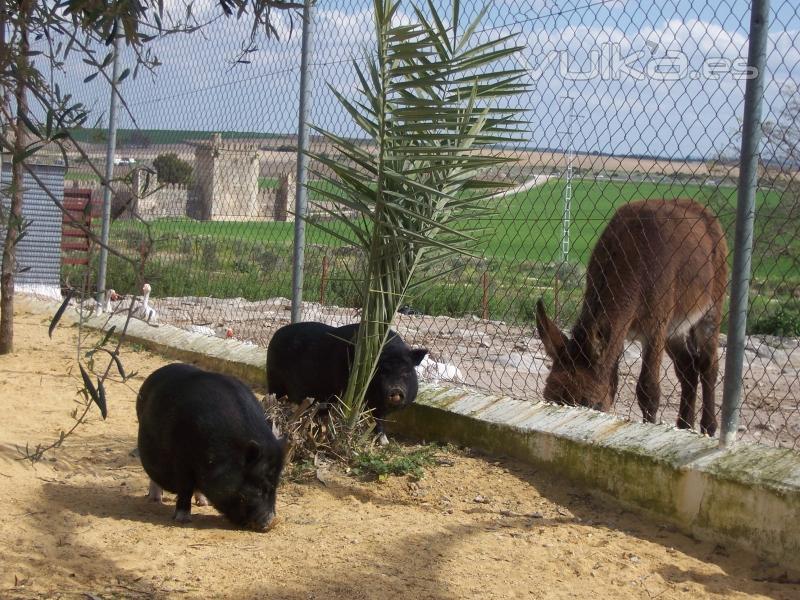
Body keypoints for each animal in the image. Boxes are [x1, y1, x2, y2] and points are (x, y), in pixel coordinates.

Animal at [138, 364, 288, 532]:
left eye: (276, 485)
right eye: (260, 485)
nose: (271, 522)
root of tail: (156, 373)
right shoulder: (182, 460)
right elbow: (185, 488)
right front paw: (183, 519)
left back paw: (203, 503)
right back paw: (155, 500)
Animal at [266, 324, 428, 436]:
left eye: (406, 371)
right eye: (381, 372)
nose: (395, 390)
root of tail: (276, 334)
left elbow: (379, 420)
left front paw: (383, 441)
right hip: (274, 378)